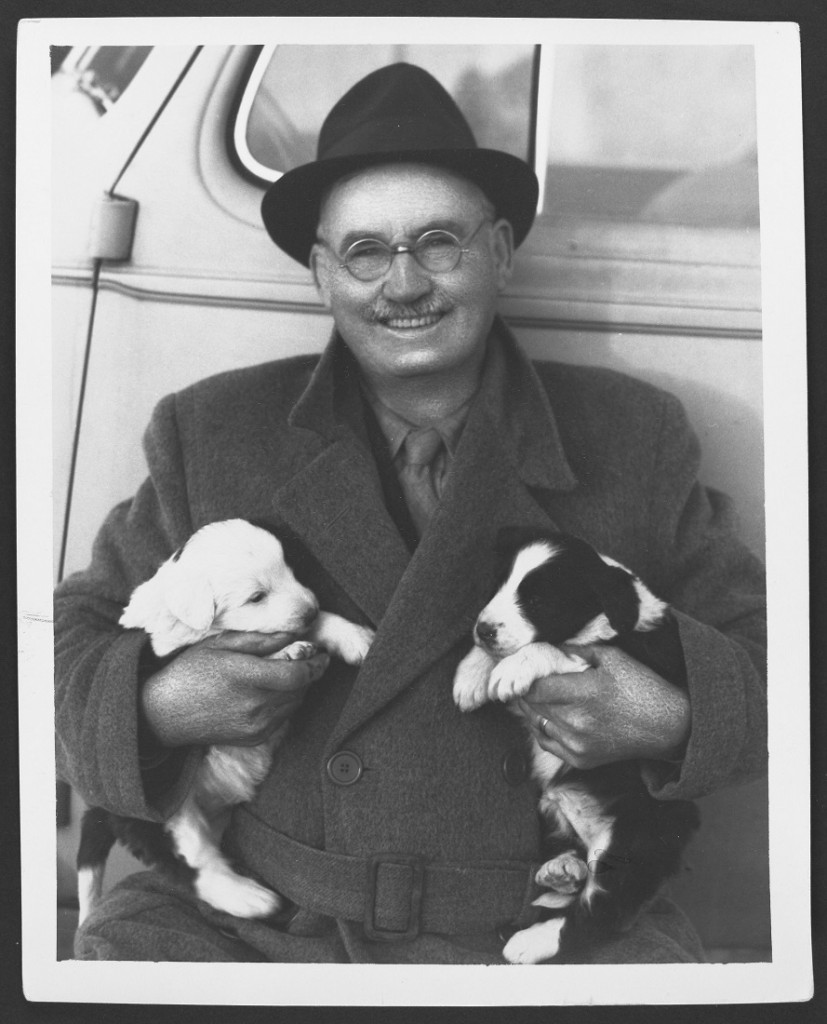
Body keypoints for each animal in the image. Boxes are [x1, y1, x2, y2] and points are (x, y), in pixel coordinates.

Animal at [452, 532, 695, 962]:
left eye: (537, 603)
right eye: (499, 584)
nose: (483, 629)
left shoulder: (625, 669)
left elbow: (551, 648)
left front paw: (511, 668)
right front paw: (472, 674)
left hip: (639, 842)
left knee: (598, 914)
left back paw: (532, 942)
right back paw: (562, 871)